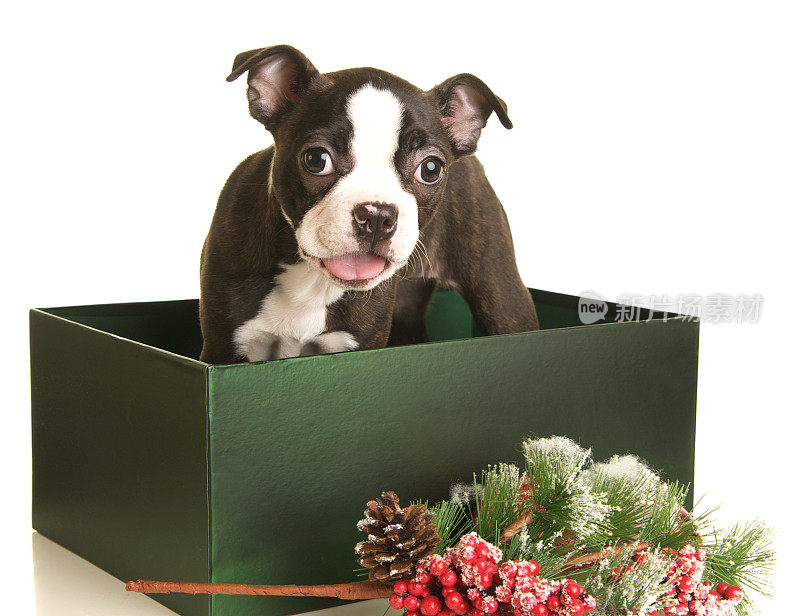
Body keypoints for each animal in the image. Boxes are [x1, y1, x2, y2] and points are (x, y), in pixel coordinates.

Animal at [198, 45, 536, 364]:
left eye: (430, 169)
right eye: (316, 159)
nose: (377, 215)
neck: (311, 281)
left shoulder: (361, 348)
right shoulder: (224, 350)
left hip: (502, 298)